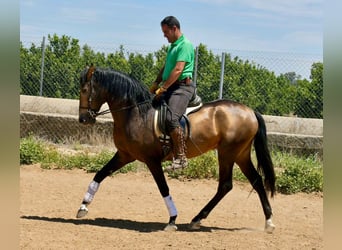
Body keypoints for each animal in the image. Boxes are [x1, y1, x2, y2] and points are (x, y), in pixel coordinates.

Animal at [76, 65, 276, 232]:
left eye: (84, 90)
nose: (83, 119)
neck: (136, 113)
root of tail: (250, 111)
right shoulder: (125, 155)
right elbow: (100, 174)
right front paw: (83, 206)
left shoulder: (152, 160)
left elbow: (163, 188)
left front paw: (172, 220)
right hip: (240, 154)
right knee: (255, 181)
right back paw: (268, 222)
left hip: (228, 153)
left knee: (226, 185)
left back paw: (198, 218)